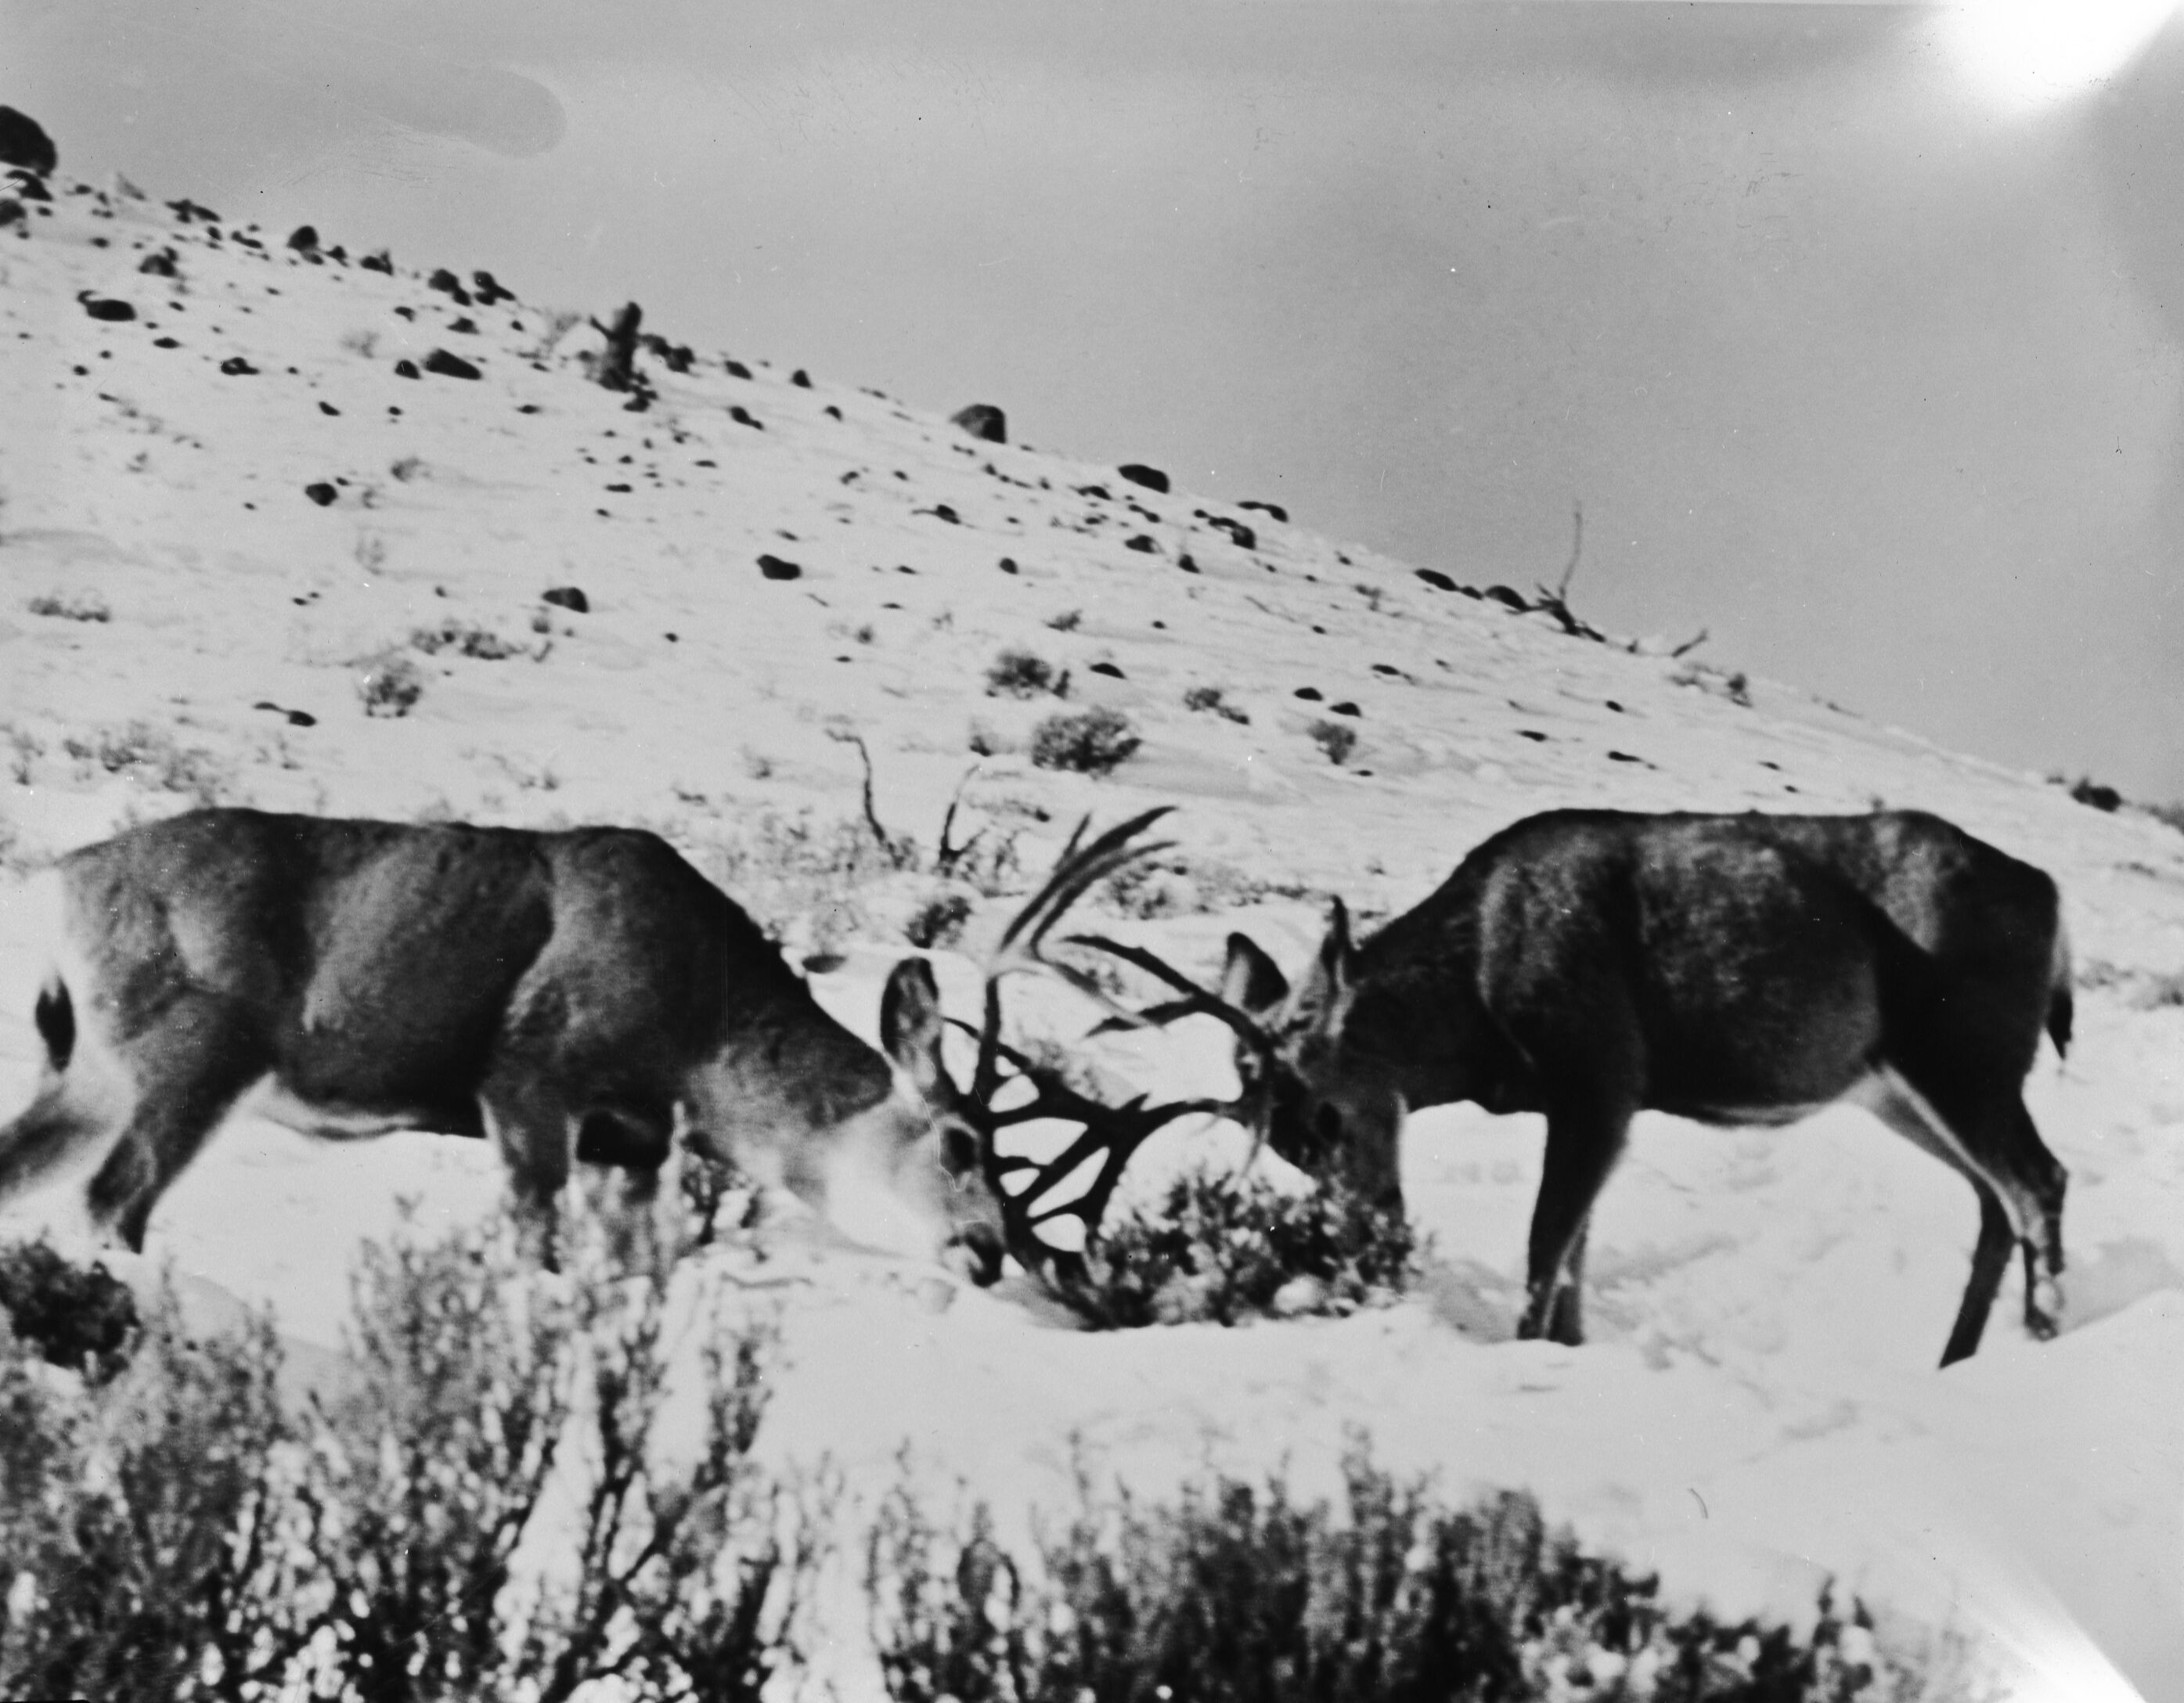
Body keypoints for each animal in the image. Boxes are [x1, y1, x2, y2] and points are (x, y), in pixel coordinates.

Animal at [0, 808, 1007, 1281]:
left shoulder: (633, 1140)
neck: (700, 1041)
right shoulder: (533, 1067)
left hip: (87, 1070)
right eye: (963, 1144)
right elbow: (537, 1236)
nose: (989, 1250)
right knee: (111, 1199)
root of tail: (55, 885)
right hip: (200, 1042)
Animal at [1200, 808, 2075, 1367]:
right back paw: (1957, 1361)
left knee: (2038, 1180)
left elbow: (1546, 1243)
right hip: (1901, 1087)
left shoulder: (1599, 1071)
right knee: (1996, 1199)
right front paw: (1569, 1350)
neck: (1476, 1002)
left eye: (1327, 1115)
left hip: (1963, 1050)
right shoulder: (1588, 1100)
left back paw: (2040, 1340)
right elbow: (1575, 1251)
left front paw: (1525, 1355)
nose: (1368, 1237)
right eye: (1286, 1149)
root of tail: (2051, 895)